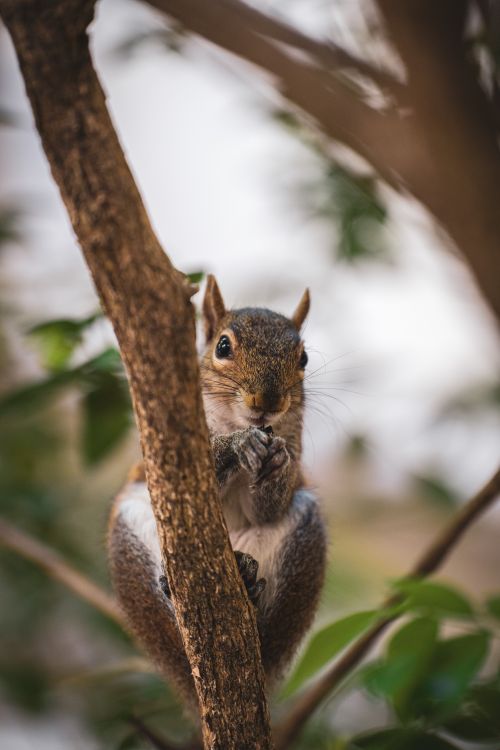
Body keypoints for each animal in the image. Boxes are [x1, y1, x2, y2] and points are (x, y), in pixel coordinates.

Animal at [108, 275, 327, 710]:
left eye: (304, 359)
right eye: (223, 347)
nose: (268, 401)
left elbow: (267, 507)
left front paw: (277, 462)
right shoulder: (162, 448)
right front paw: (237, 444)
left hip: (304, 538)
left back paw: (249, 583)